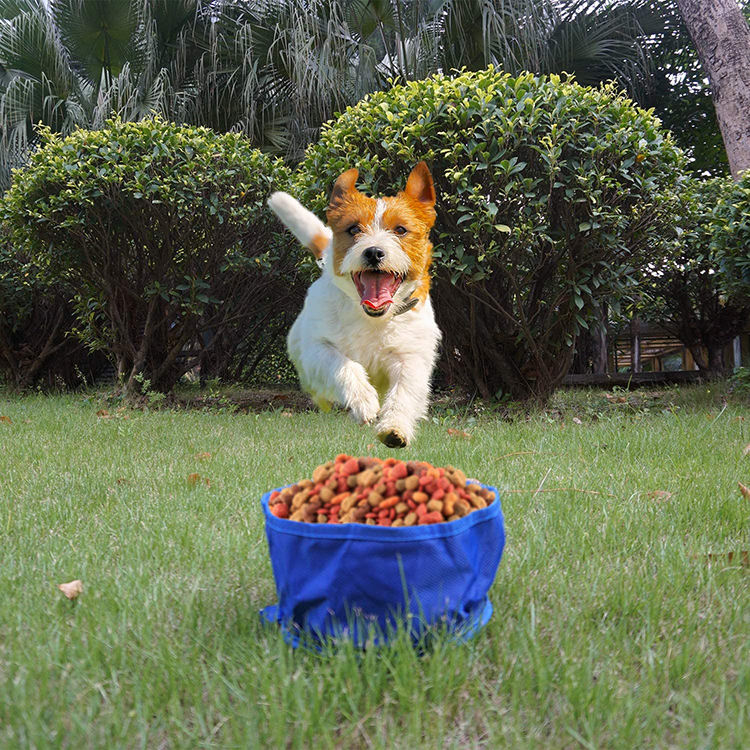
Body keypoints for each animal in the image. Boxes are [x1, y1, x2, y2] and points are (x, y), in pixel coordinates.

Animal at [267, 162, 441, 448]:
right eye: (353, 229)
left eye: (400, 230)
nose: (374, 252)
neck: (373, 317)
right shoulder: (317, 348)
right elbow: (344, 364)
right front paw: (363, 400)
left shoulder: (411, 357)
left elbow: (404, 391)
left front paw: (394, 427)